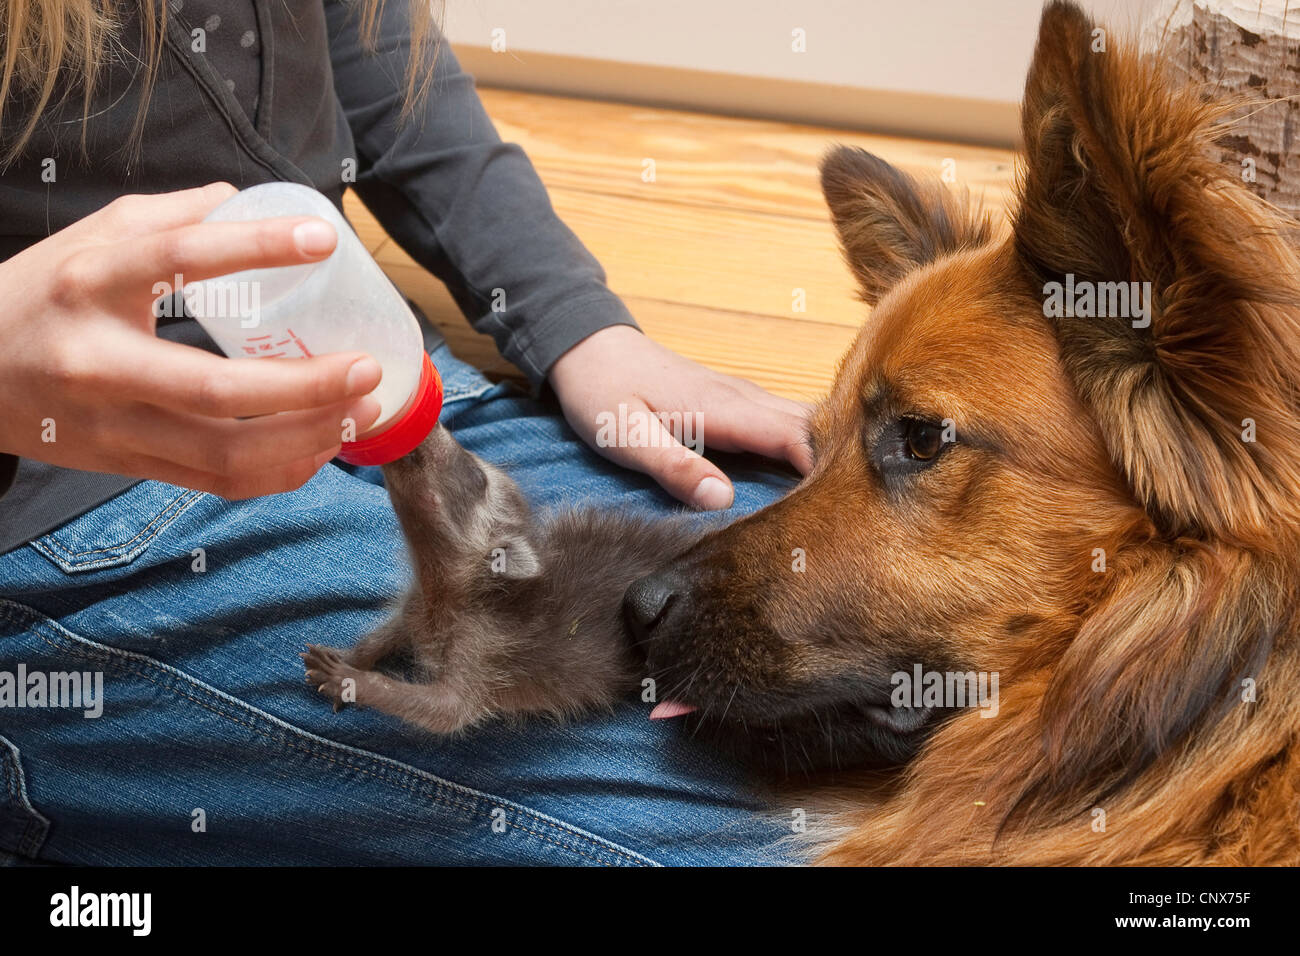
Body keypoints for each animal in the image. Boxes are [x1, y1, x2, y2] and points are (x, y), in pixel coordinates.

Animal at [300, 429, 702, 738]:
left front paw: (356, 682)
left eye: (477, 477)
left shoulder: (483, 642)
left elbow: (446, 710)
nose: (427, 430)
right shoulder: (418, 605)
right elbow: (391, 630)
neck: (445, 585)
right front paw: (356, 656)